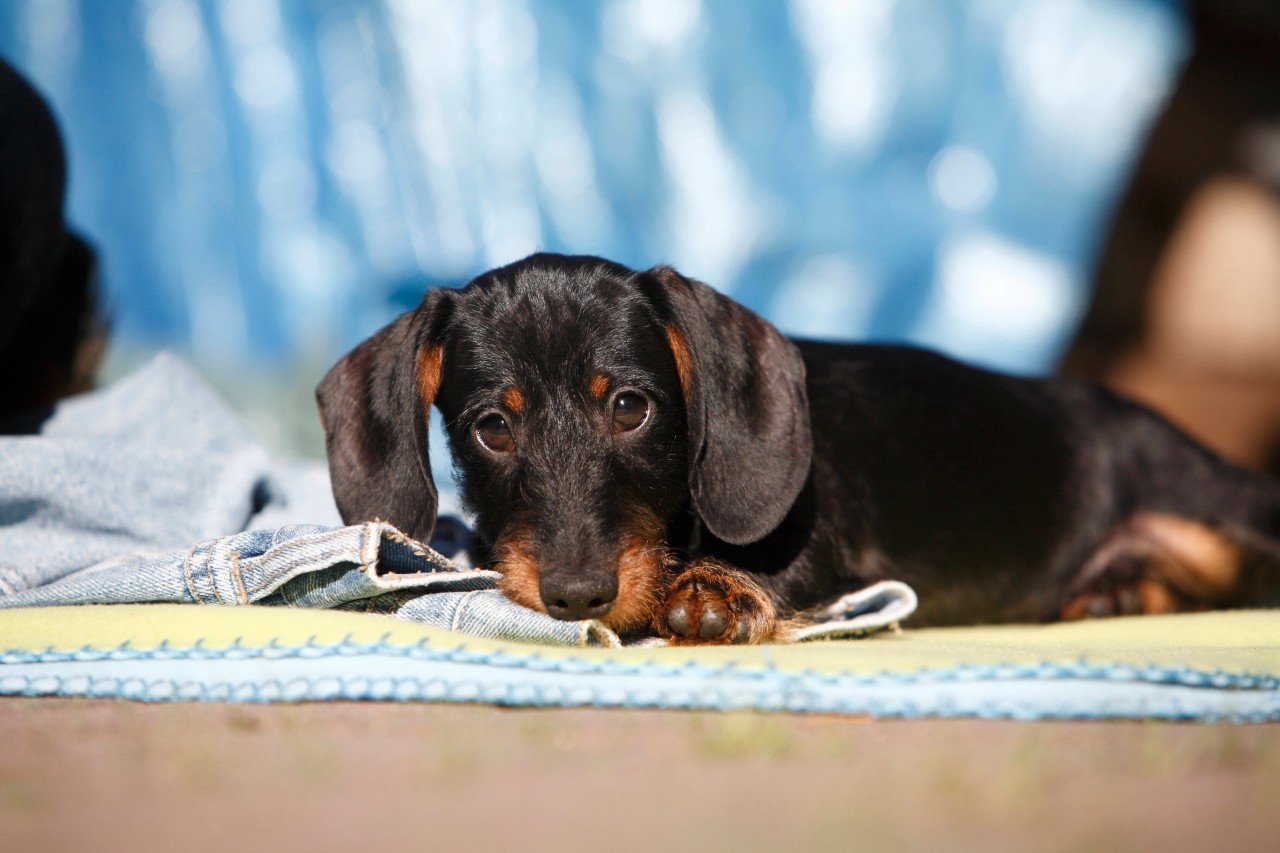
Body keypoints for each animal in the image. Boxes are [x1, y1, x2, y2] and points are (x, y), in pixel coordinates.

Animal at [317, 256, 1280, 640]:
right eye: (493, 426)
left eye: (630, 407)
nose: (578, 594)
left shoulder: (839, 543)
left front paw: (716, 591)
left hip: (1204, 499)